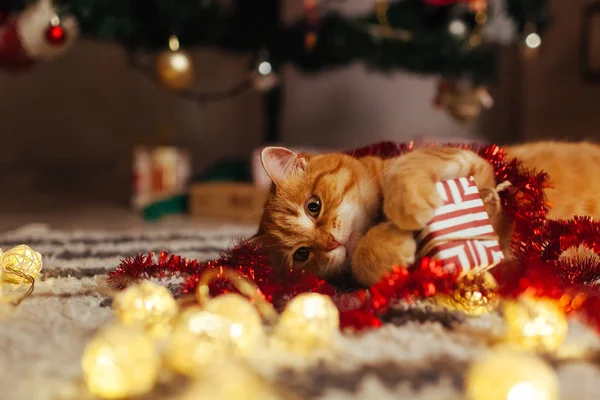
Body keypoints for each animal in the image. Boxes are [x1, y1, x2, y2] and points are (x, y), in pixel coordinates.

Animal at [252, 142, 600, 286]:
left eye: (313, 206)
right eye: (302, 254)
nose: (329, 243)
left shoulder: (474, 165)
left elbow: (405, 168)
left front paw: (408, 208)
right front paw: (386, 249)